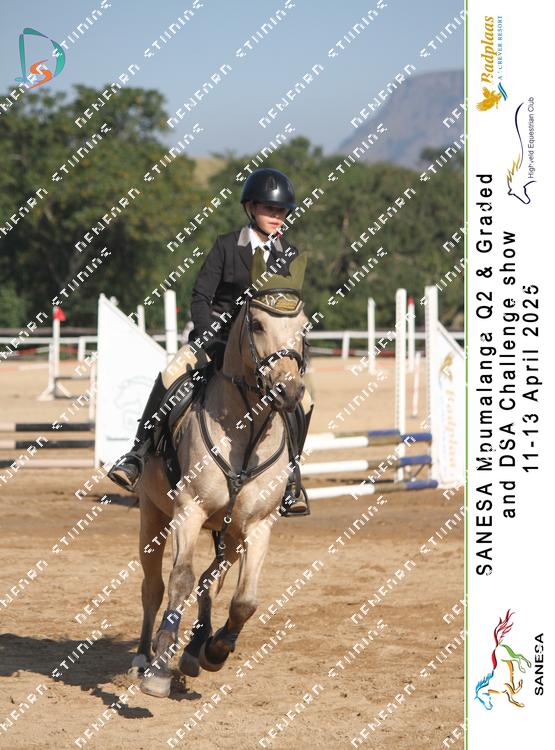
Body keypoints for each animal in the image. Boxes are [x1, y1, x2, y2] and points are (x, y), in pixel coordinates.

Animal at [131, 251, 309, 698]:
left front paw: (215, 650)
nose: (288, 391)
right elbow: (179, 580)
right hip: (152, 516)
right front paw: (159, 670)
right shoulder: (189, 511)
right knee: (153, 587)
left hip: (228, 533)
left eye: (303, 328)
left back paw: (196, 649)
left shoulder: (258, 525)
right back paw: (144, 655)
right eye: (257, 324)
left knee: (211, 583)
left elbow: (243, 600)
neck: (244, 430)